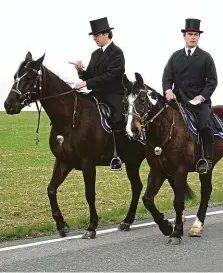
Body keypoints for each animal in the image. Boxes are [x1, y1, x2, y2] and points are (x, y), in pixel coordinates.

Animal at [124, 71, 223, 244]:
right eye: (125, 102)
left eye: (142, 100)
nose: (131, 131)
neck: (166, 131)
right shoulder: (158, 171)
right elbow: (147, 199)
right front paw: (166, 227)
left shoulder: (180, 171)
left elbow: (178, 201)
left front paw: (176, 232)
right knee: (206, 191)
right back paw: (197, 226)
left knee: (205, 192)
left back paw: (197, 226)